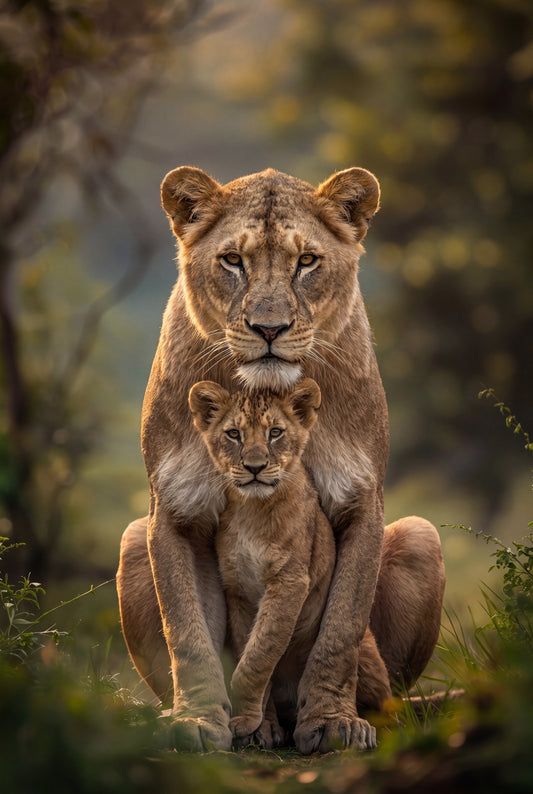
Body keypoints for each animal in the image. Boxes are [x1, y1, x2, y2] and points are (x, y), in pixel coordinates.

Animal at [188, 377, 391, 751]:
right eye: (234, 434)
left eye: (275, 433)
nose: (254, 467)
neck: (252, 510)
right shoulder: (238, 590)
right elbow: (252, 650)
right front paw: (257, 725)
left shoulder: (290, 580)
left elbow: (260, 654)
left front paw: (243, 717)